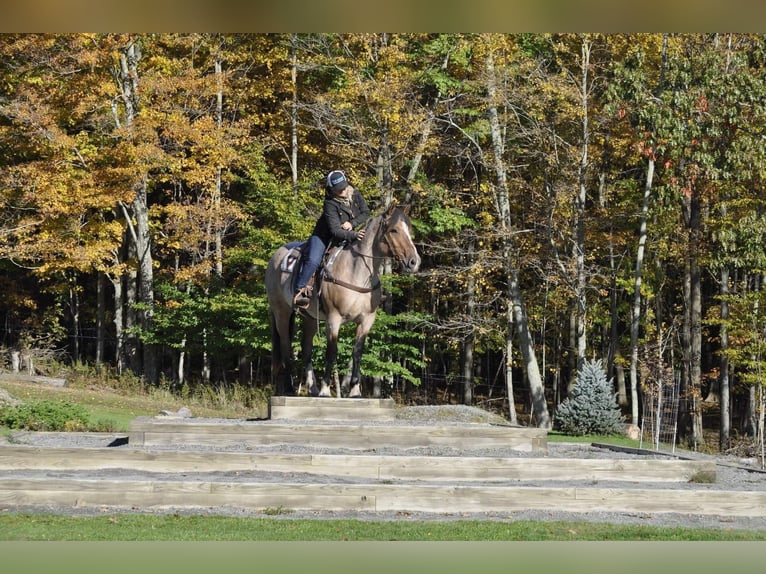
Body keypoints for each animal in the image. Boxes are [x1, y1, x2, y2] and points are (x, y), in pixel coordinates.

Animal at [268, 205, 424, 398]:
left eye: (409, 230)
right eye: (394, 230)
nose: (414, 262)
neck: (356, 271)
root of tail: (276, 256)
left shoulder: (366, 321)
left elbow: (357, 352)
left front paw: (355, 391)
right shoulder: (333, 319)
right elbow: (331, 352)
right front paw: (326, 390)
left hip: (310, 318)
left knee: (306, 349)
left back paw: (312, 388)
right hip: (281, 312)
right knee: (285, 345)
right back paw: (290, 389)